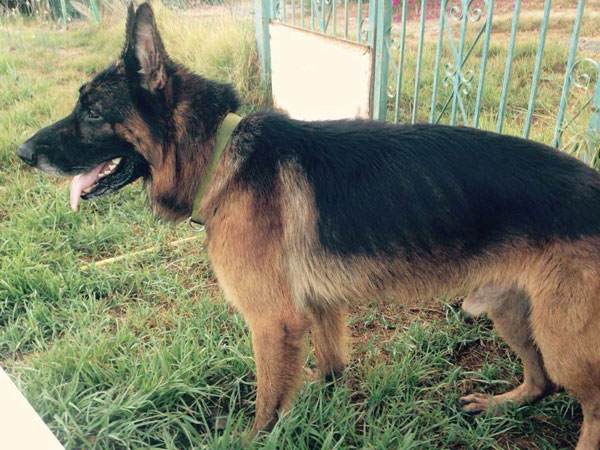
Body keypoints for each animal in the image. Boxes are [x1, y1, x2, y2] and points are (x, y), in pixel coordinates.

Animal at [16, 2, 600, 446]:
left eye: (92, 114)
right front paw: (327, 405)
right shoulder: (319, 309)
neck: (221, 156)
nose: (21, 153)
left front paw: (256, 438)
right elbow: (332, 367)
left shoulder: (272, 323)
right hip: (514, 312)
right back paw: (504, 402)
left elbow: (266, 404)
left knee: (588, 405)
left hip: (564, 340)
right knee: (542, 381)